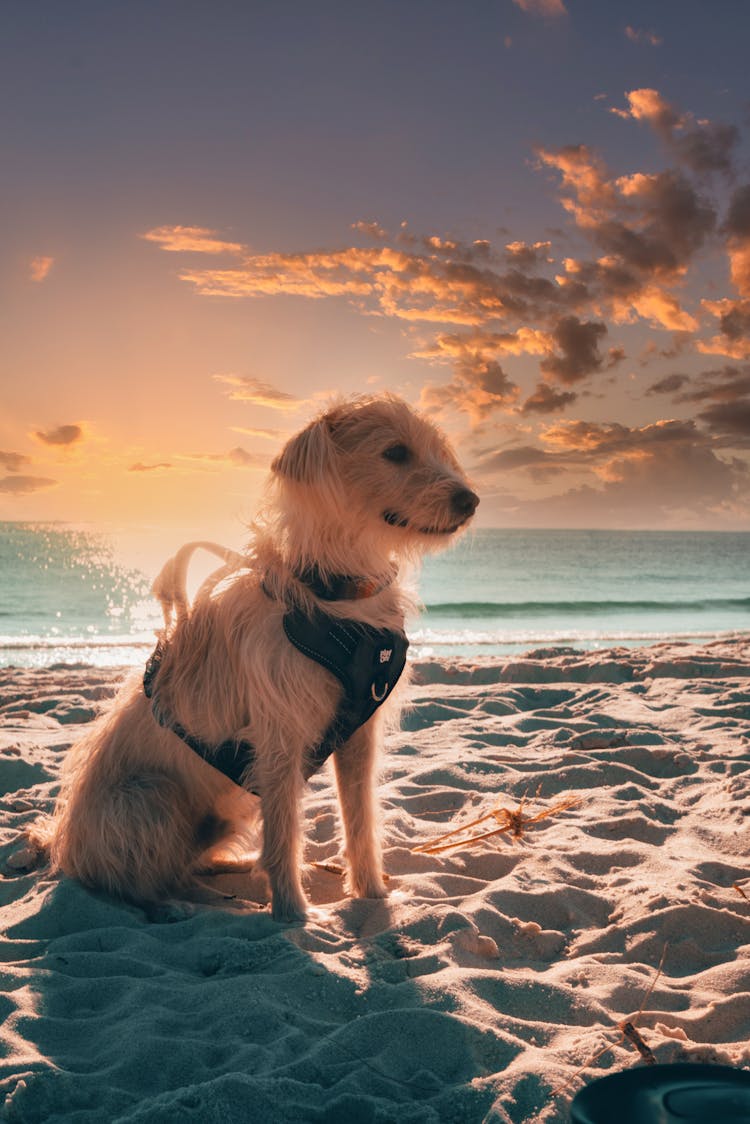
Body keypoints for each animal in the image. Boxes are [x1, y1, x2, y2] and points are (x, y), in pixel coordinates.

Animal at [38, 395, 479, 921]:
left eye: (435, 449)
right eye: (395, 452)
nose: (471, 500)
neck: (336, 595)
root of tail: (63, 847)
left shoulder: (358, 737)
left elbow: (361, 820)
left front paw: (372, 896)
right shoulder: (278, 745)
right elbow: (285, 833)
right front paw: (295, 915)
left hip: (223, 813)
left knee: (185, 863)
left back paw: (230, 867)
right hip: (152, 798)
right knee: (136, 883)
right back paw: (177, 906)